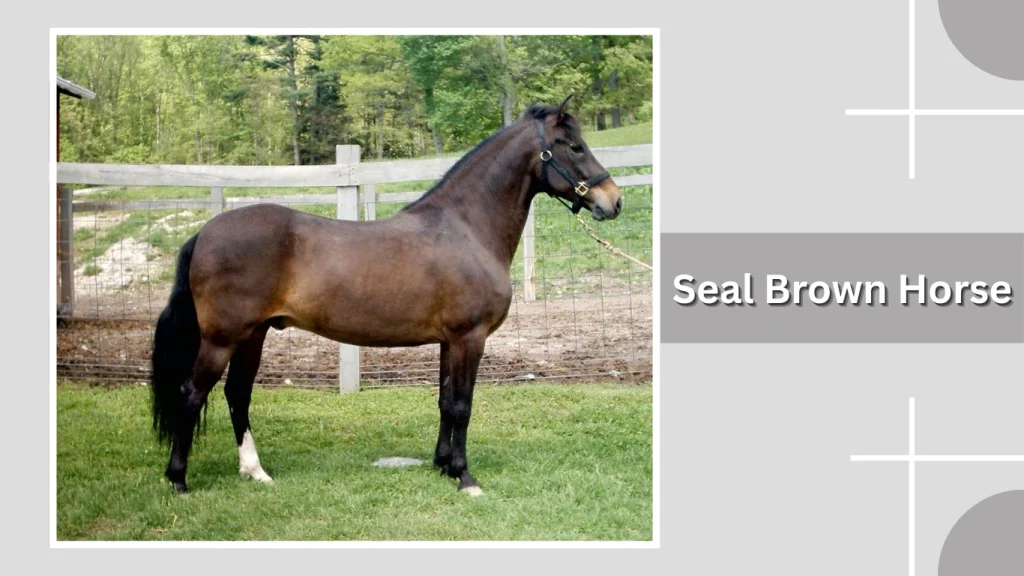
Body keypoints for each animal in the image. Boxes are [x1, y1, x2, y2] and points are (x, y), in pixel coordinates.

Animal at [149, 95, 624, 497]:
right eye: (574, 146)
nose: (614, 201)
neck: (466, 228)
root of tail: (204, 233)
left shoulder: (449, 341)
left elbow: (445, 401)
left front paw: (443, 464)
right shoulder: (469, 338)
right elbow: (462, 405)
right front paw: (465, 477)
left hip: (254, 334)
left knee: (237, 395)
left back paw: (255, 471)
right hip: (223, 338)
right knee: (192, 393)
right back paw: (179, 480)